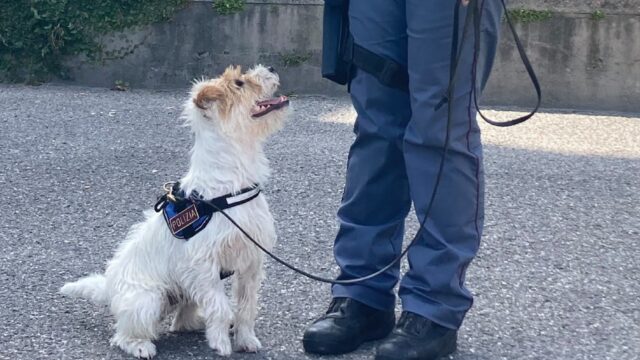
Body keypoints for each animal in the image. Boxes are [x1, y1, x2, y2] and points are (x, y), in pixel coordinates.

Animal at [60, 65, 290, 360]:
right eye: (239, 83)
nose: (270, 68)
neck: (229, 183)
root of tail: (109, 286)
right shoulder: (203, 266)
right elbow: (221, 305)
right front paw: (221, 343)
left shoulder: (250, 263)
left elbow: (246, 306)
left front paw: (245, 339)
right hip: (147, 300)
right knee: (123, 335)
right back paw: (141, 346)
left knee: (181, 319)